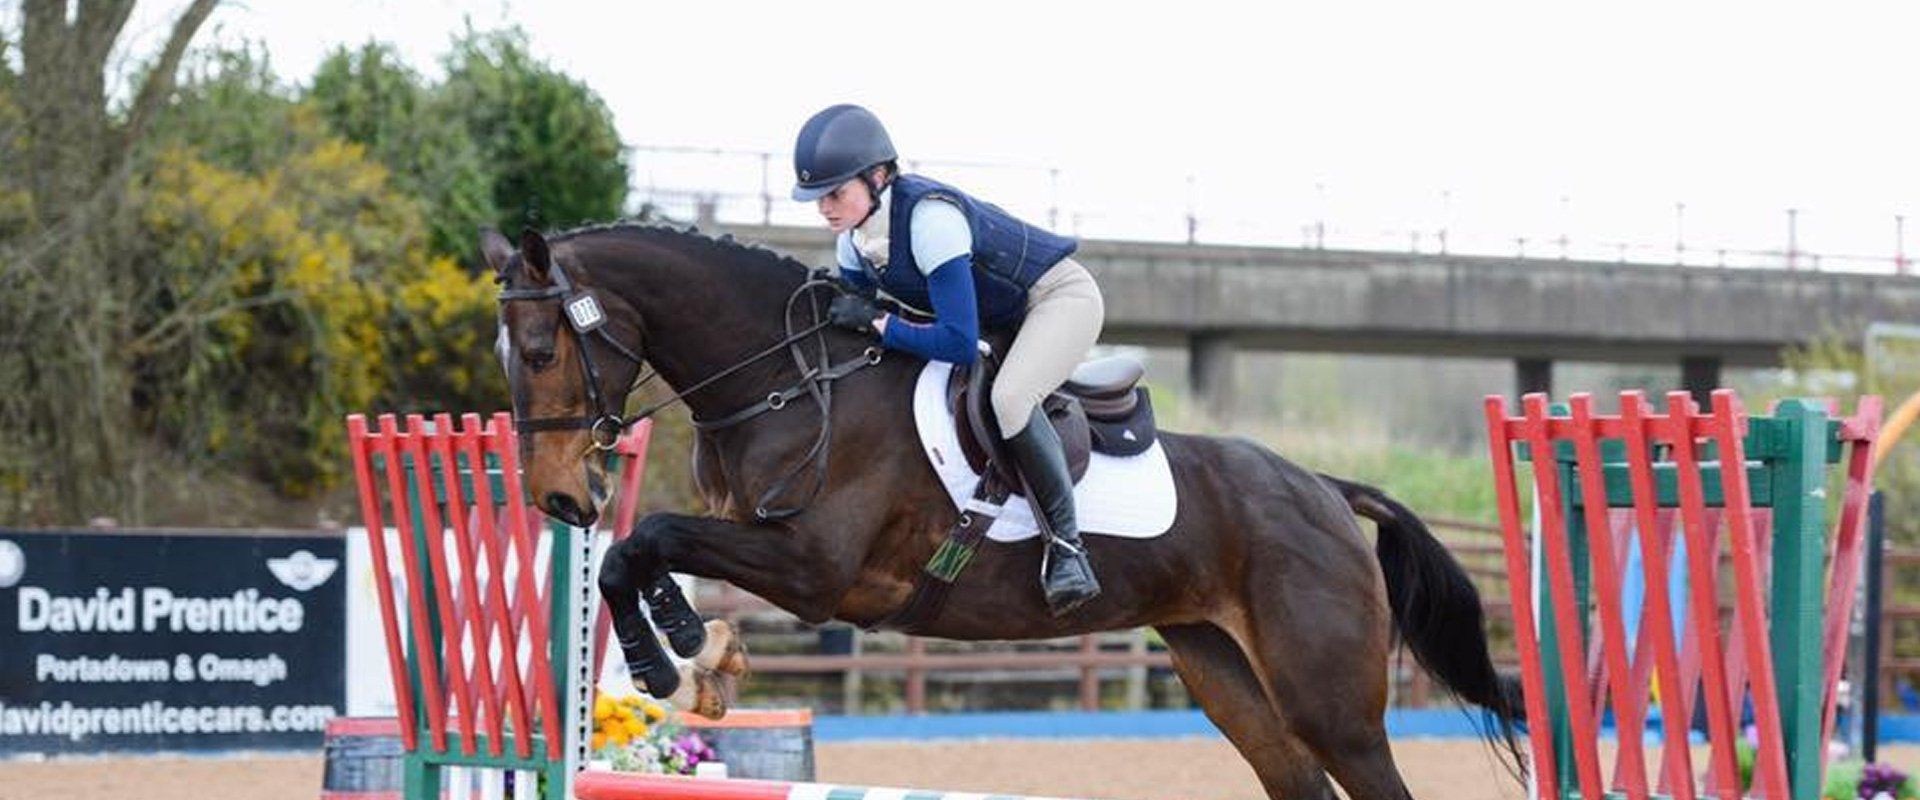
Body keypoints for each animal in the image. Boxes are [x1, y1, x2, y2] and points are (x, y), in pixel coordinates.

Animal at [482, 223, 1522, 800]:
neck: (793, 380)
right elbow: (642, 553)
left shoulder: (817, 571)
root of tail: (1329, 492)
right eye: (507, 353)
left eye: (539, 349)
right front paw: (697, 652)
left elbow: (649, 540)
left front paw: (675, 658)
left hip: (1329, 701)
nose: (558, 497)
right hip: (1224, 669)